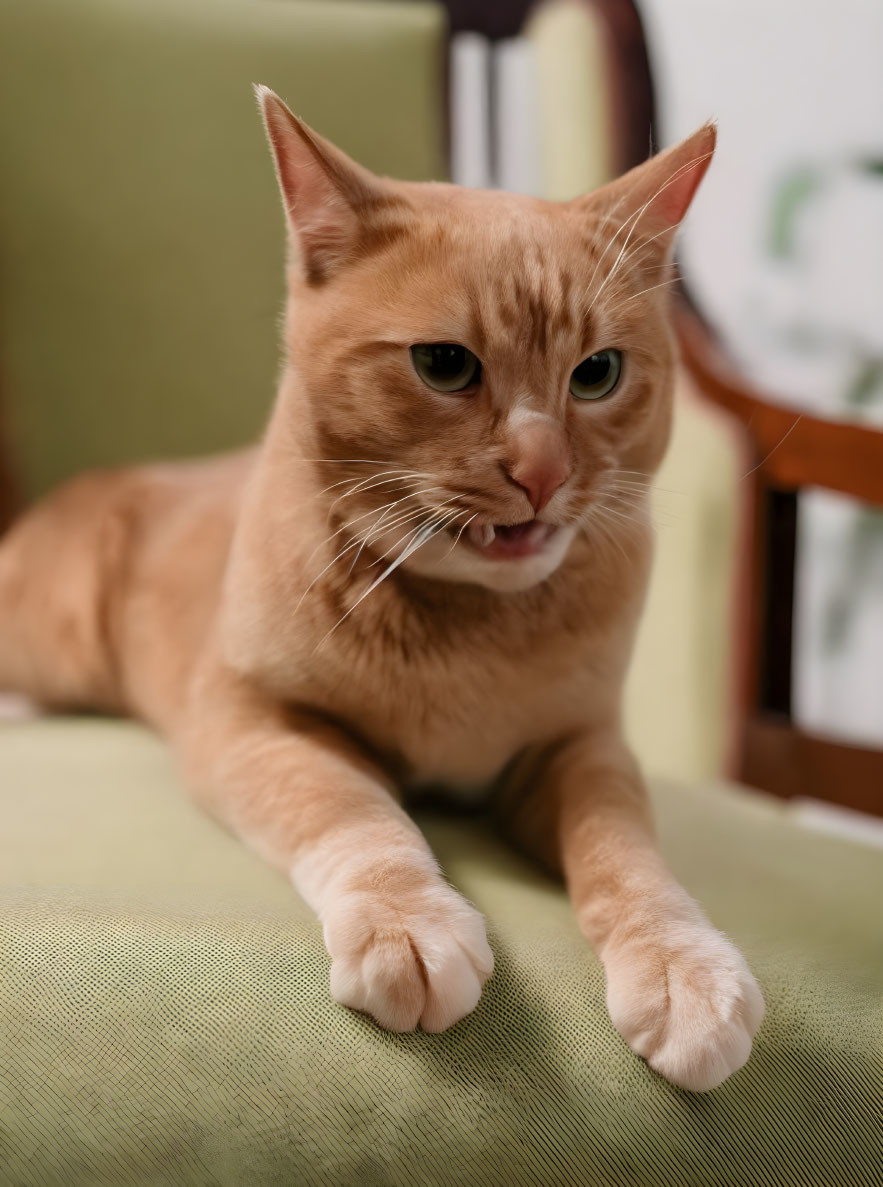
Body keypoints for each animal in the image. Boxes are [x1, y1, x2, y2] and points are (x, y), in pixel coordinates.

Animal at [0, 90, 764, 1092]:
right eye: (443, 365)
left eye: (597, 373)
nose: (543, 471)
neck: (467, 621)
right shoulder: (250, 720)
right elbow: (354, 809)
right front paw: (407, 920)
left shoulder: (580, 749)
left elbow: (627, 852)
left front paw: (681, 962)